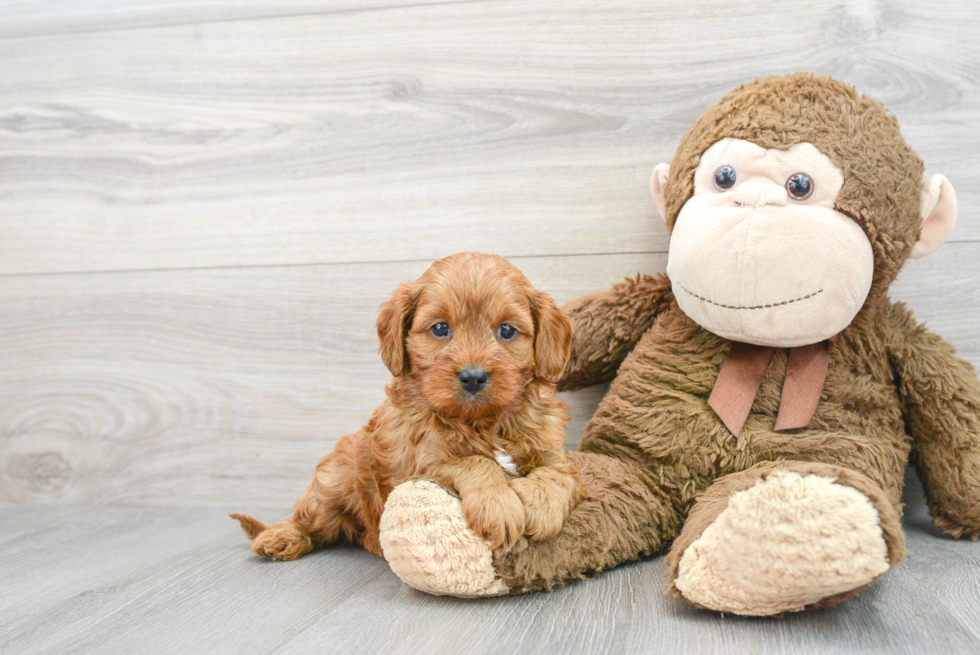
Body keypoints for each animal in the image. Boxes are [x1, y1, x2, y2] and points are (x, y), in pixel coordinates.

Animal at [232, 254, 580, 560]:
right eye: (440, 329)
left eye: (507, 330)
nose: (473, 377)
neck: (481, 422)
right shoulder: (418, 467)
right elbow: (476, 461)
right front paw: (499, 506)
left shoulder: (554, 451)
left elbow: (557, 474)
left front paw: (543, 507)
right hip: (334, 481)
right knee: (308, 519)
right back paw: (280, 537)